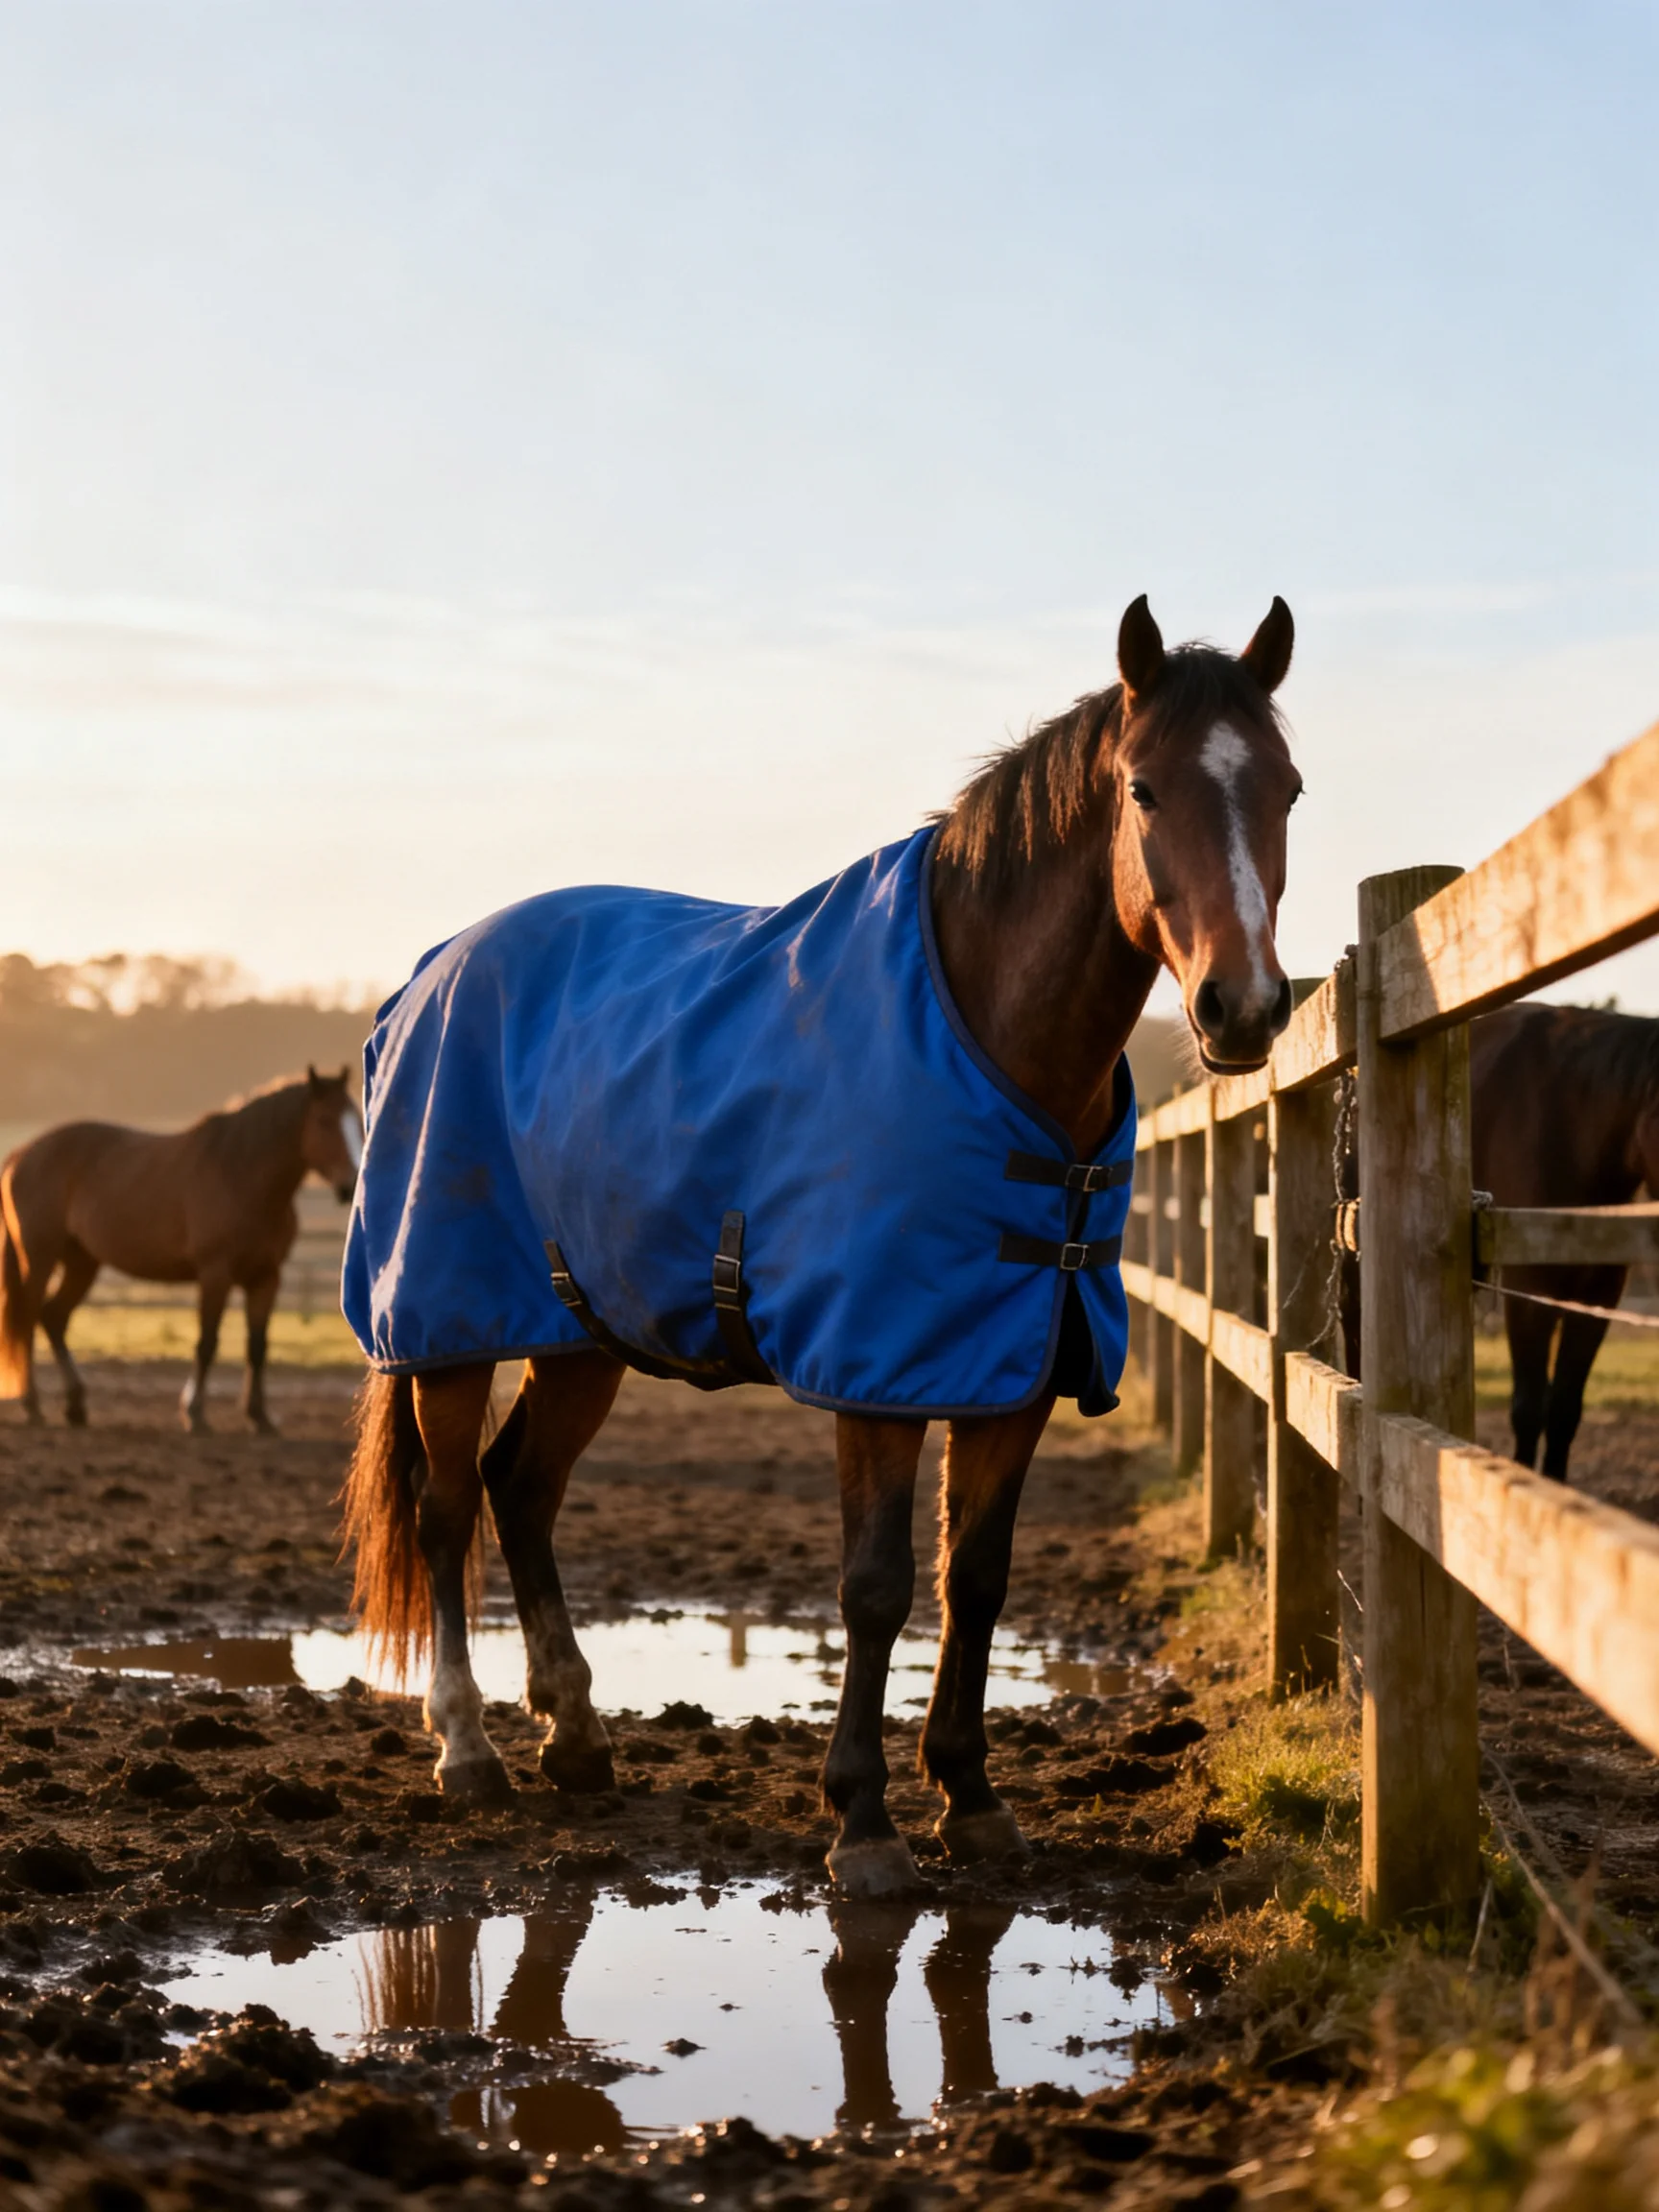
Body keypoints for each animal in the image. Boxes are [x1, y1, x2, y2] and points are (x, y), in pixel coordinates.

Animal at [0, 1066, 362, 1434]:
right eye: (324, 1120)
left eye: (357, 1119)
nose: (351, 1185)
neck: (241, 1176)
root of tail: (22, 1154)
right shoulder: (215, 1273)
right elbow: (207, 1342)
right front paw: (194, 1411)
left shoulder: (266, 1277)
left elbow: (258, 1346)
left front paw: (259, 1416)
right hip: (40, 1258)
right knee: (28, 1318)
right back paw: (33, 1405)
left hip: (82, 1262)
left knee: (53, 1317)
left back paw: (76, 1406)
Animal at [340, 595, 1301, 1897]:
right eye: (1145, 790)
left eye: (1288, 787)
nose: (1243, 1009)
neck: (981, 1029)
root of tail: (425, 978)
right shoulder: (876, 1374)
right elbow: (878, 1584)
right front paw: (865, 1823)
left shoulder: (1017, 1369)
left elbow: (974, 1578)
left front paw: (972, 1799)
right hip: (448, 1327)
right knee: (447, 1509)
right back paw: (468, 1749)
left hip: (579, 1333)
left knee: (521, 1489)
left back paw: (577, 1737)